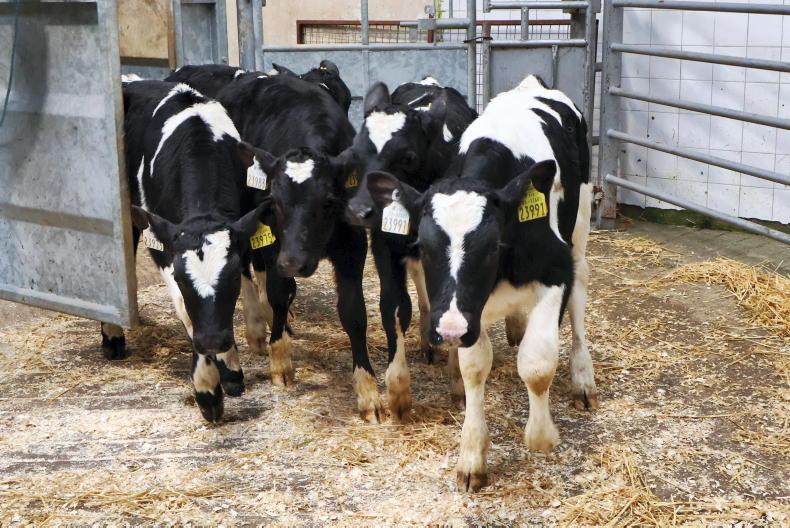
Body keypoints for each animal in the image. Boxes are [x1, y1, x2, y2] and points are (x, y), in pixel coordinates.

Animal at [101, 78, 272, 423]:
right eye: (182, 281)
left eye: (231, 281)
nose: (213, 341)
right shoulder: (164, 246)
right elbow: (186, 311)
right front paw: (207, 388)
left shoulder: (242, 229)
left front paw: (232, 367)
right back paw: (112, 335)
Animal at [342, 77, 477, 421]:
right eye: (355, 154)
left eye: (407, 157)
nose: (359, 210)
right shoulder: (384, 247)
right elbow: (394, 307)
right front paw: (398, 389)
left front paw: (459, 386)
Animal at [364, 75, 594, 490]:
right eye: (424, 246)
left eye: (492, 248)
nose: (450, 330)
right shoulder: (468, 309)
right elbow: (473, 368)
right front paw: (472, 456)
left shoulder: (555, 272)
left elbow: (537, 363)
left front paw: (541, 435)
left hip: (581, 222)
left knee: (580, 291)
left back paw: (583, 379)